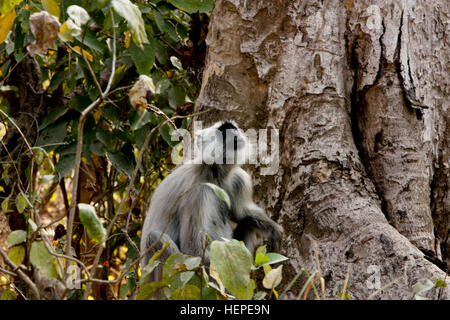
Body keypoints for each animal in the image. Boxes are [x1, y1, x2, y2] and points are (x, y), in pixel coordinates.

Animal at [139, 119, 284, 282]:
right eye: (224, 132)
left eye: (232, 128)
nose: (235, 133)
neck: (215, 174)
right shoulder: (197, 192)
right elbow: (193, 249)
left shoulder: (238, 179)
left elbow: (242, 214)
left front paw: (275, 230)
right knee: (156, 238)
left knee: (247, 224)